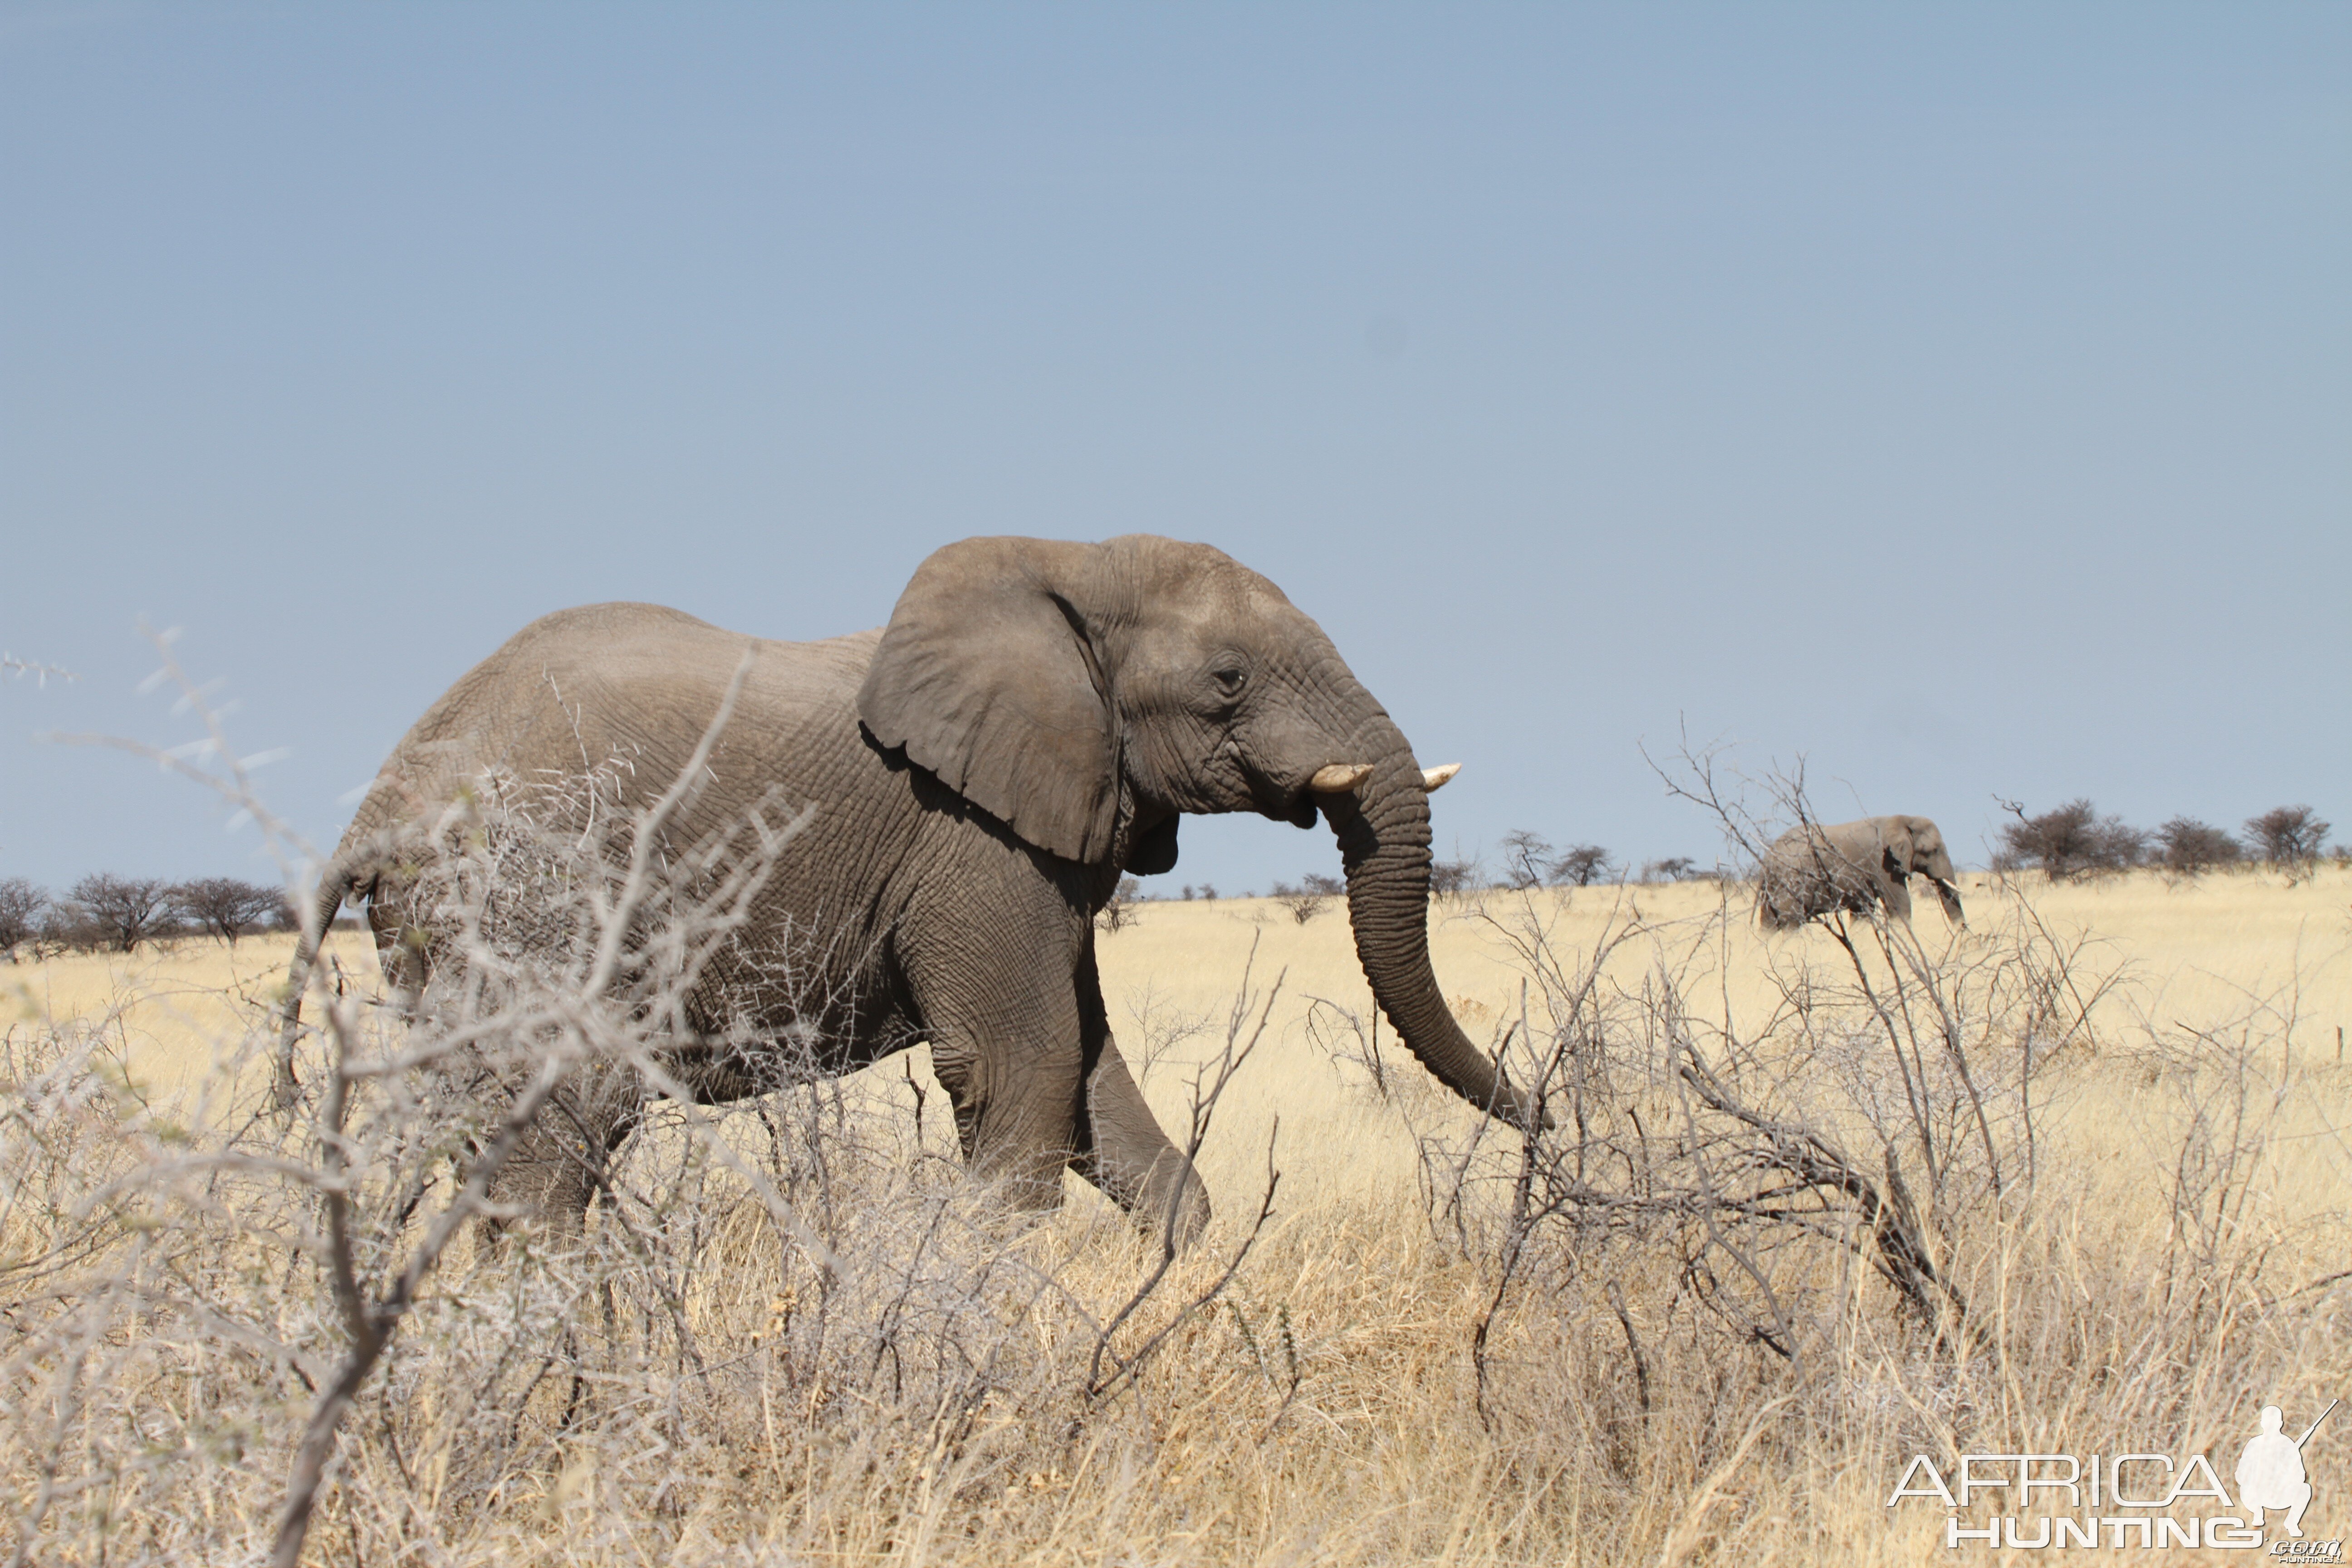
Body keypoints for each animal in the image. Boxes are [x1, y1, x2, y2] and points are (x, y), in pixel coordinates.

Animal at [279, 536, 1524, 1250]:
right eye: (1228, 680)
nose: (1543, 1116)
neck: (1062, 565)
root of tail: (380, 800)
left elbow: (1090, 1075)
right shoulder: (972, 838)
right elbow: (1024, 1067)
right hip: (534, 891)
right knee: (562, 1122)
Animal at [1749, 818, 1966, 926]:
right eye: (1934, 851)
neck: (1901, 819)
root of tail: (1767, 859)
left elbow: (1862, 913)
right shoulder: (1882, 862)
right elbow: (1900, 905)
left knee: (1769, 922)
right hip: (1792, 880)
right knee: (1792, 921)